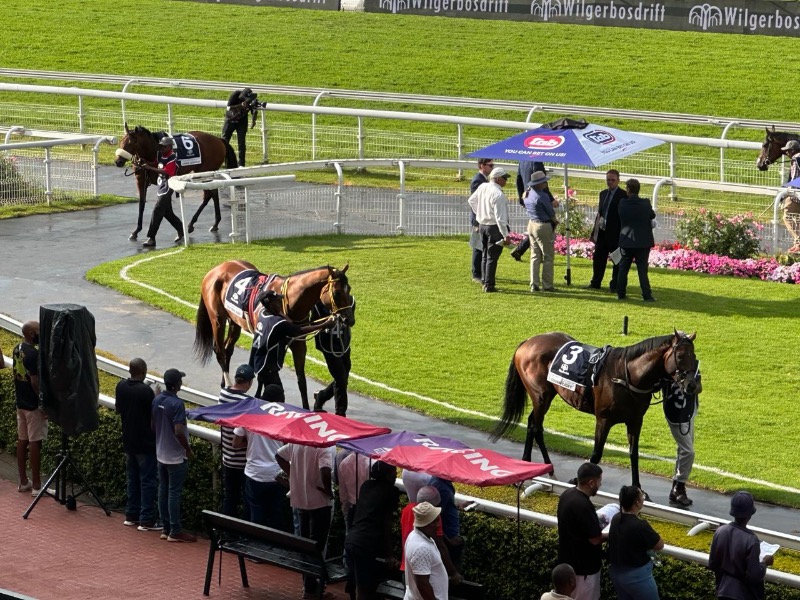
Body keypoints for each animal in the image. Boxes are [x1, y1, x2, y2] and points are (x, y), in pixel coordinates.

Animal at [193, 260, 354, 408]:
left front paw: (306, 408)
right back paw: (227, 384)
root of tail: (216, 269)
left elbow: (301, 380)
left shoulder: (298, 342)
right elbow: (261, 370)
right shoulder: (262, 337)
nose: (349, 319)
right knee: (220, 351)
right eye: (337, 292)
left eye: (350, 289)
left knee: (228, 349)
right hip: (217, 319)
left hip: (234, 321)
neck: (290, 300)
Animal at [491, 330, 698, 490]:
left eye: (694, 357)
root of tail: (528, 341)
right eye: (680, 356)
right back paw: (541, 470)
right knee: (536, 427)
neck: (627, 376)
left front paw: (639, 489)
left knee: (532, 423)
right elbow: (597, 454)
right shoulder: (603, 419)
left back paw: (533, 466)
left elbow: (634, 454)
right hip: (541, 396)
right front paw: (577, 480)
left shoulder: (635, 420)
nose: (691, 385)